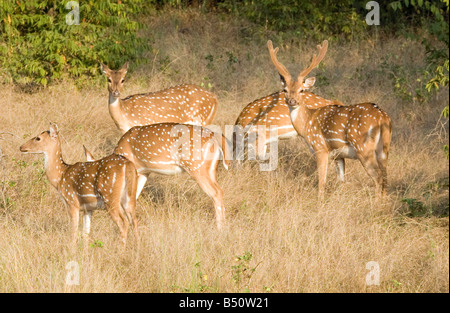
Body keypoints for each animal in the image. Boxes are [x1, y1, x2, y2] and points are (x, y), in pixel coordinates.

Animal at [268, 40, 390, 199]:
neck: (307, 125)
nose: (292, 101)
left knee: (378, 176)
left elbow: (322, 182)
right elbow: (342, 181)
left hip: (363, 148)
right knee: (385, 176)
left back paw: (376, 203)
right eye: (285, 90)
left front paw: (320, 202)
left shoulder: (320, 148)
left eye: (302, 90)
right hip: (384, 149)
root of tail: (382, 117)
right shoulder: (338, 156)